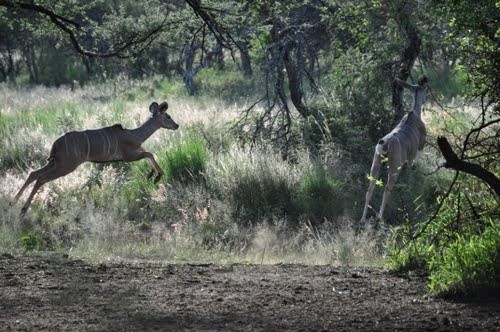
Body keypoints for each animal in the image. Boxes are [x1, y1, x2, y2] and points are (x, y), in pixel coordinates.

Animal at [14, 100, 180, 213]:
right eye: (168, 116)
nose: (177, 126)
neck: (135, 135)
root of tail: (55, 144)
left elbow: (148, 154)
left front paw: (151, 174)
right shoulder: (128, 156)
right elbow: (149, 153)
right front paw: (157, 175)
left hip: (55, 163)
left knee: (34, 173)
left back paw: (14, 201)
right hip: (66, 166)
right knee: (42, 178)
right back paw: (23, 209)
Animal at [362, 76, 428, 222]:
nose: (426, 100)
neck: (414, 114)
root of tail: (384, 144)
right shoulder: (412, 156)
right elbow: (410, 175)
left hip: (376, 164)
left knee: (370, 189)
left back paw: (363, 219)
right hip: (393, 169)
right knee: (386, 190)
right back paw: (380, 218)